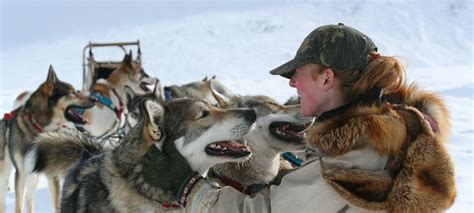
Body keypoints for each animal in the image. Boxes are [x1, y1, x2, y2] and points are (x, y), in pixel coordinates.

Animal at [0, 66, 96, 213]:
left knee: (30, 201)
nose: (95, 99)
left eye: (77, 90)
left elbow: (56, 204)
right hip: (6, 174)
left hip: (33, 176)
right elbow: (18, 206)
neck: (38, 127)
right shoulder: (21, 173)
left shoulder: (52, 175)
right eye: (72, 92)